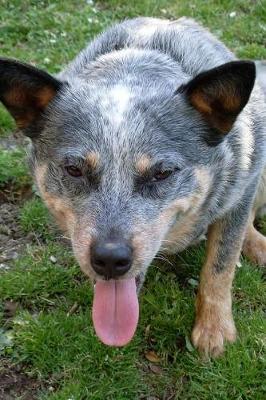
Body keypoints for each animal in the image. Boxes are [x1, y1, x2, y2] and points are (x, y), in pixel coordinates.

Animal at [0, 17, 266, 358]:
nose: (110, 259)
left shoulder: (241, 188)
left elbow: (220, 265)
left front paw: (214, 329)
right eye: (74, 170)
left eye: (162, 173)